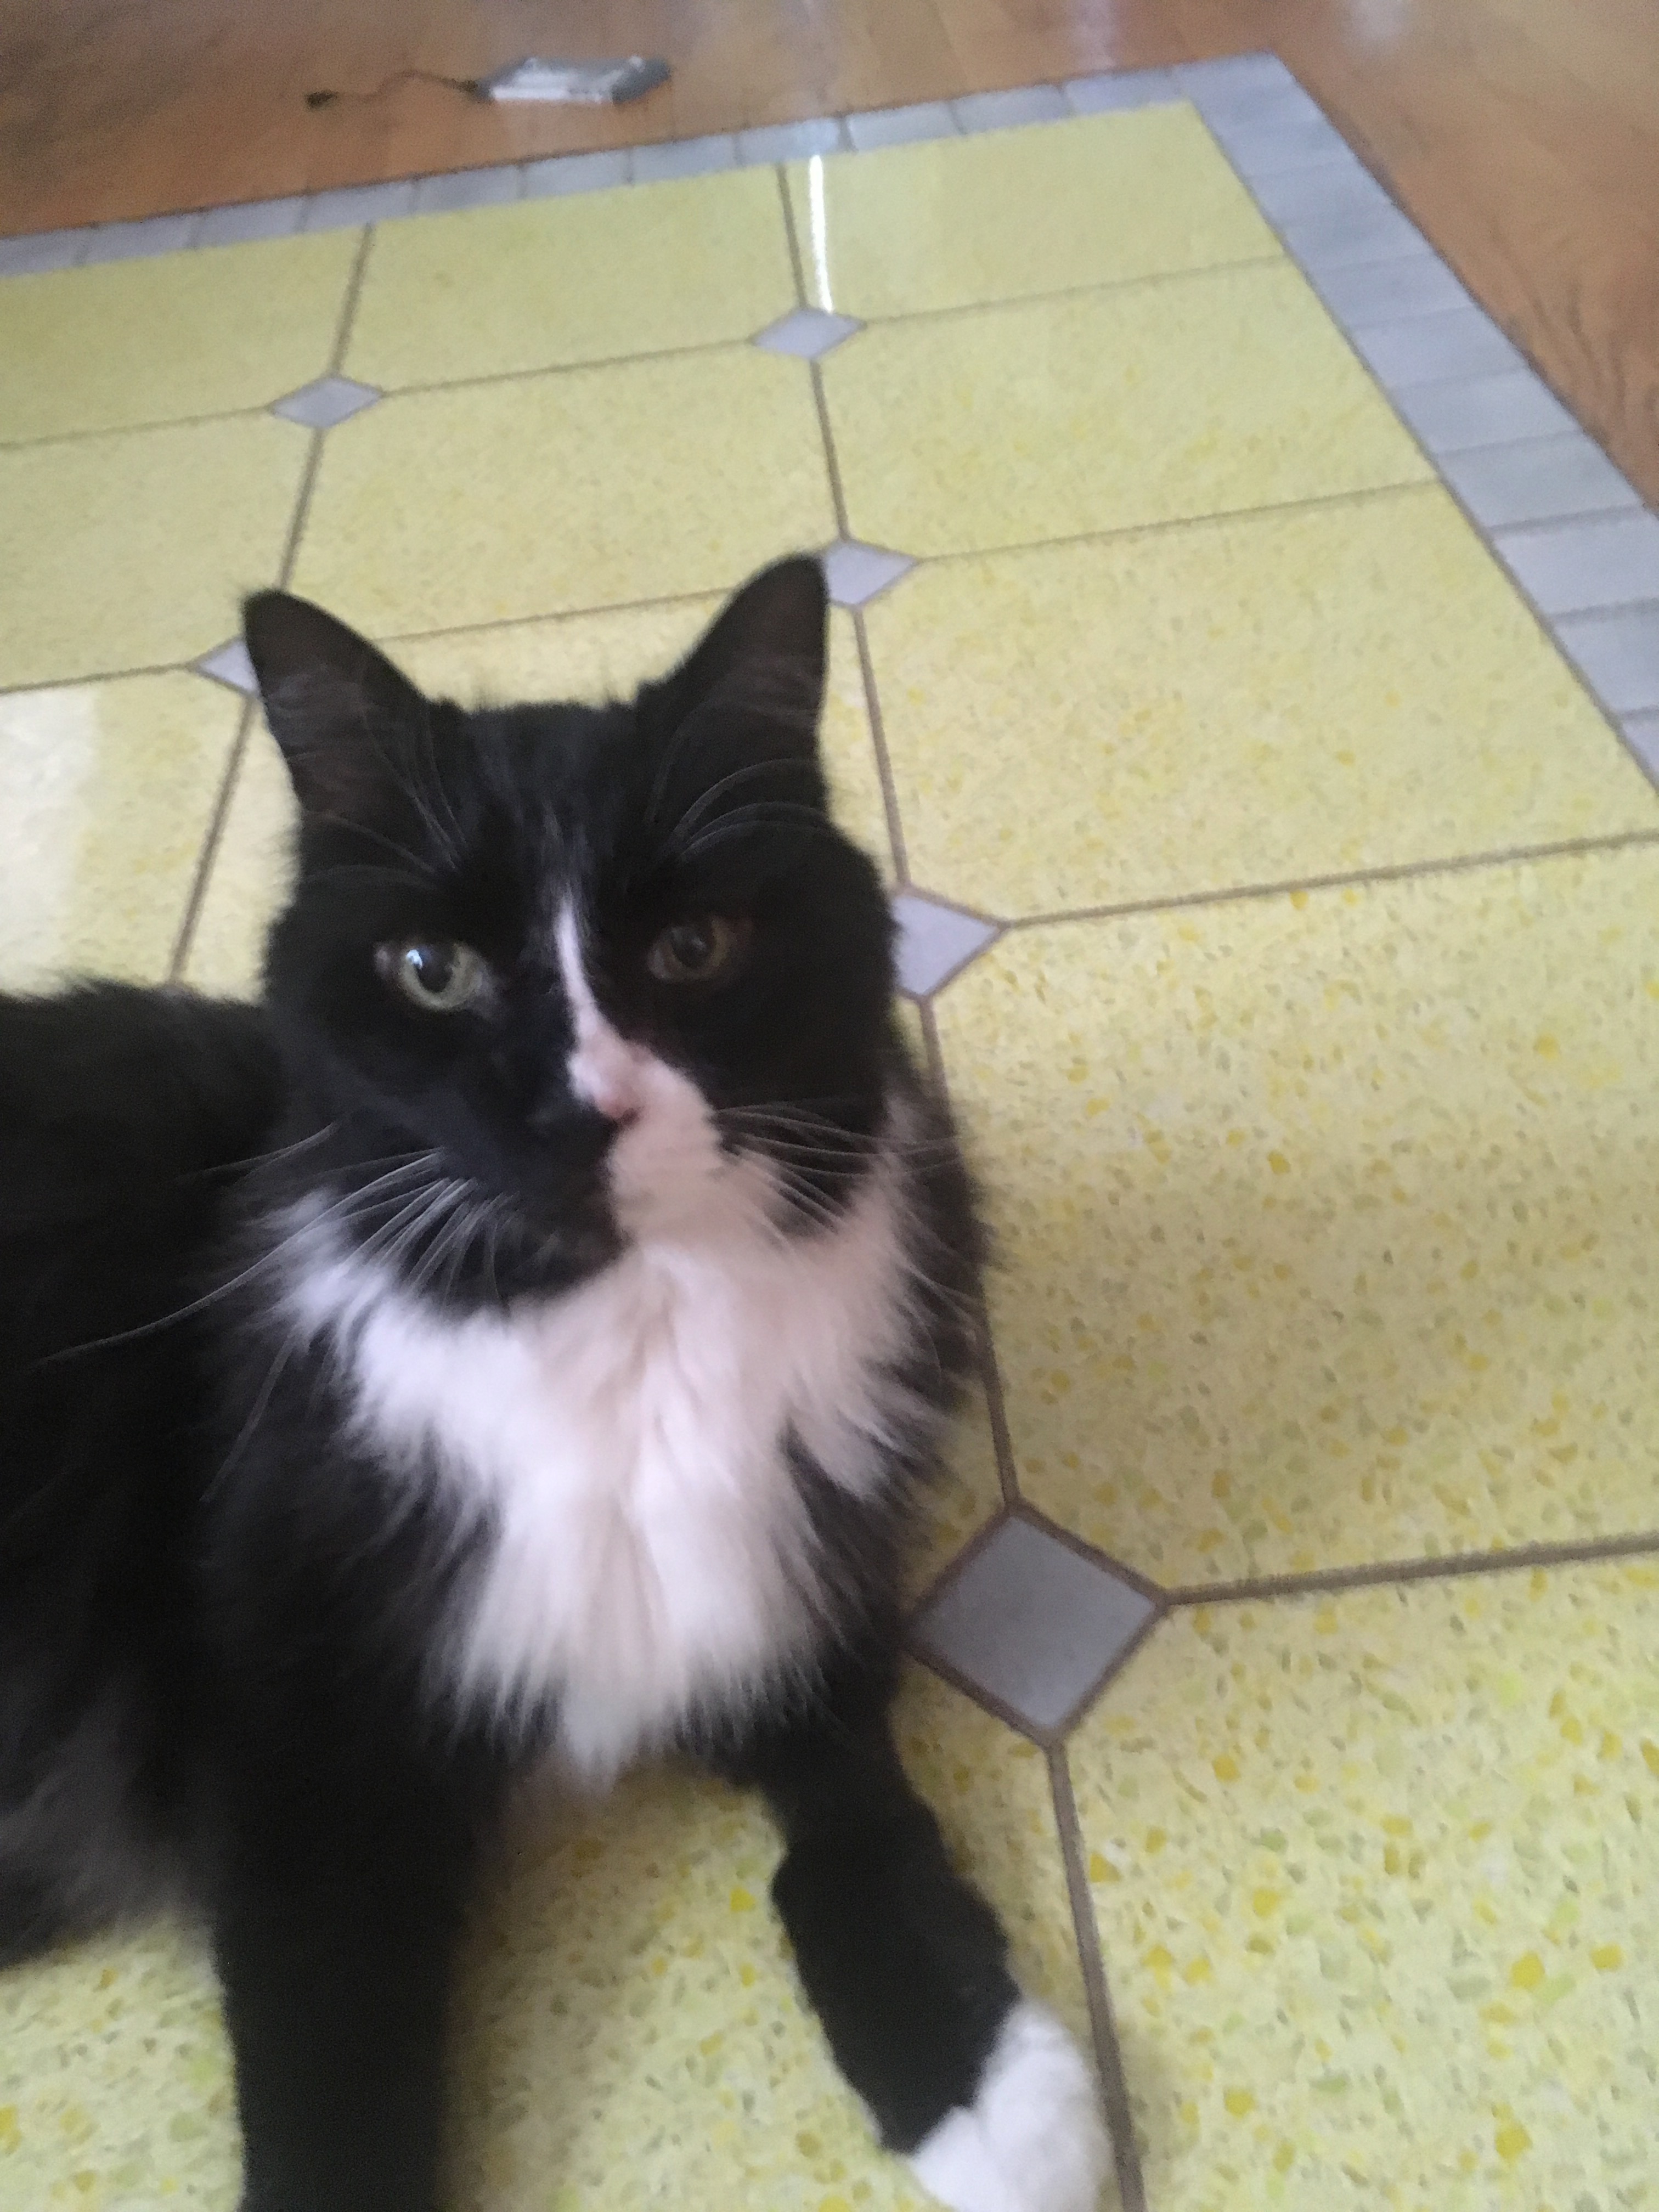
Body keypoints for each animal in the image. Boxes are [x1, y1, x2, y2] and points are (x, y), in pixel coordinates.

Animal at [3, 557, 1119, 2212]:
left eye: (694, 951)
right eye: (433, 972)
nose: (588, 1110)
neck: (629, 1331)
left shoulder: (794, 1590)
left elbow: (856, 1828)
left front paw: (986, 2087)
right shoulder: (294, 1741)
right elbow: (333, 2056)